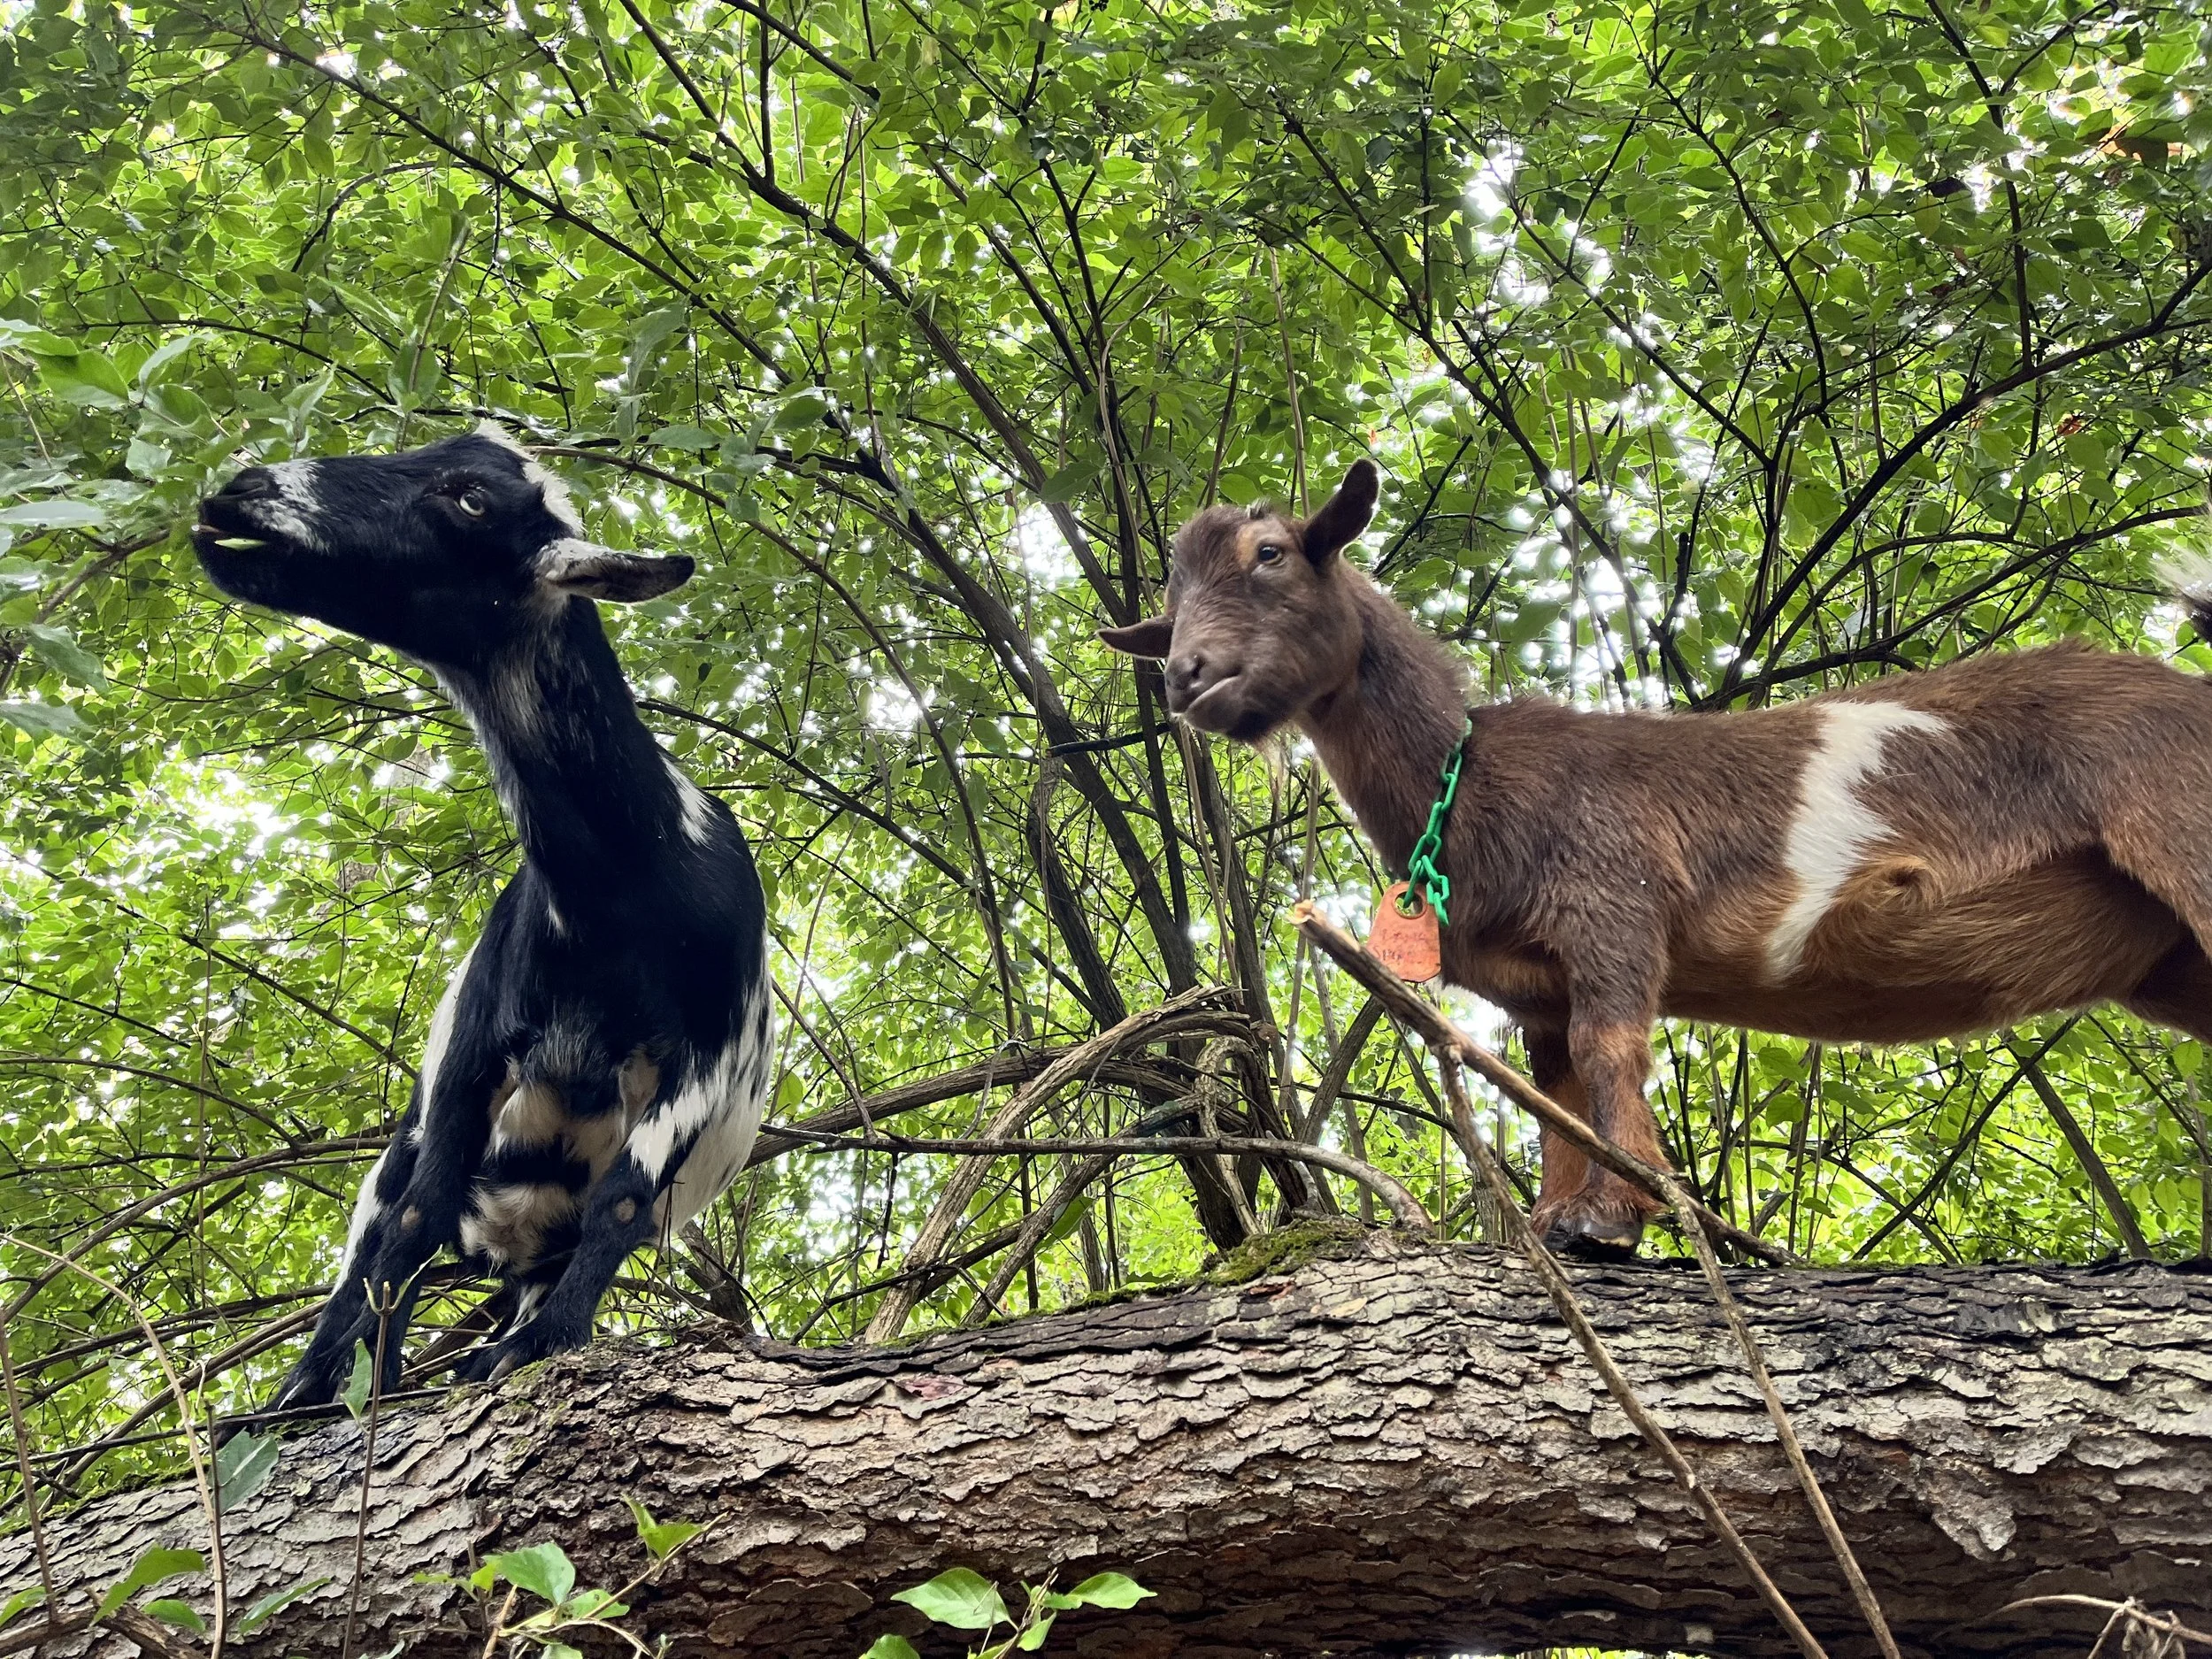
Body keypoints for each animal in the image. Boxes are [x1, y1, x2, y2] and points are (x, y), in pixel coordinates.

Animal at [194, 424, 773, 1405]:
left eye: (470, 498)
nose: (241, 489)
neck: (627, 892)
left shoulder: (704, 1054)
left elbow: (622, 1201)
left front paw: (540, 1344)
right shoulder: (476, 1046)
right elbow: (409, 1226)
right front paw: (353, 1392)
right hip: (406, 1150)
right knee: (373, 1248)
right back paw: (309, 1394)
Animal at [1105, 459, 2212, 1254]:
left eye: (1272, 554)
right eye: (1170, 599)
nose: (1188, 677)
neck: (1468, 779)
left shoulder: (1614, 905)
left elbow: (1611, 1053)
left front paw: (1615, 1217)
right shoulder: (1535, 988)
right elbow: (1553, 1095)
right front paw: (1553, 1219)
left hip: (2181, 830)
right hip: (2161, 957)